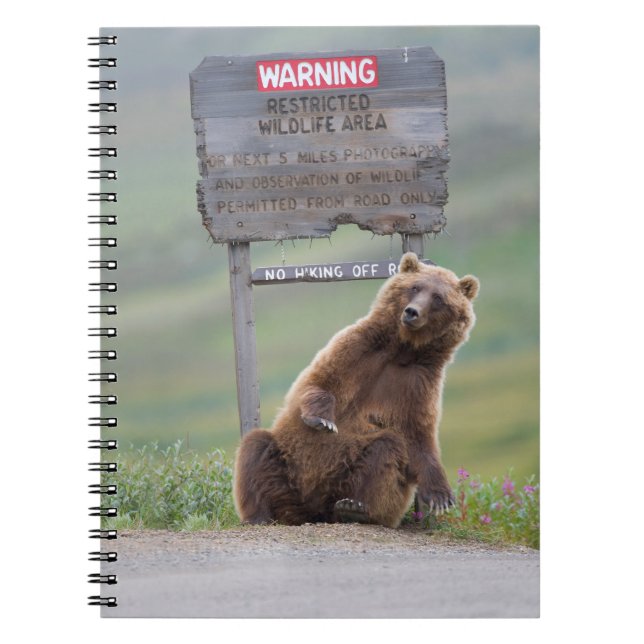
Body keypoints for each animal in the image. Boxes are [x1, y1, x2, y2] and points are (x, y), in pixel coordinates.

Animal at [233, 252, 479, 528]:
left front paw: (440, 496)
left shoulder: (418, 381)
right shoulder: (358, 348)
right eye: (415, 287)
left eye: (438, 298)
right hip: (288, 462)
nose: (412, 312)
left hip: (346, 475)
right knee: (256, 449)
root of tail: (312, 513)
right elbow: (319, 381)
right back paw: (259, 515)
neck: (401, 350)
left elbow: (418, 434)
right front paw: (324, 420)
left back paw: (355, 508)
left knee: (386, 448)